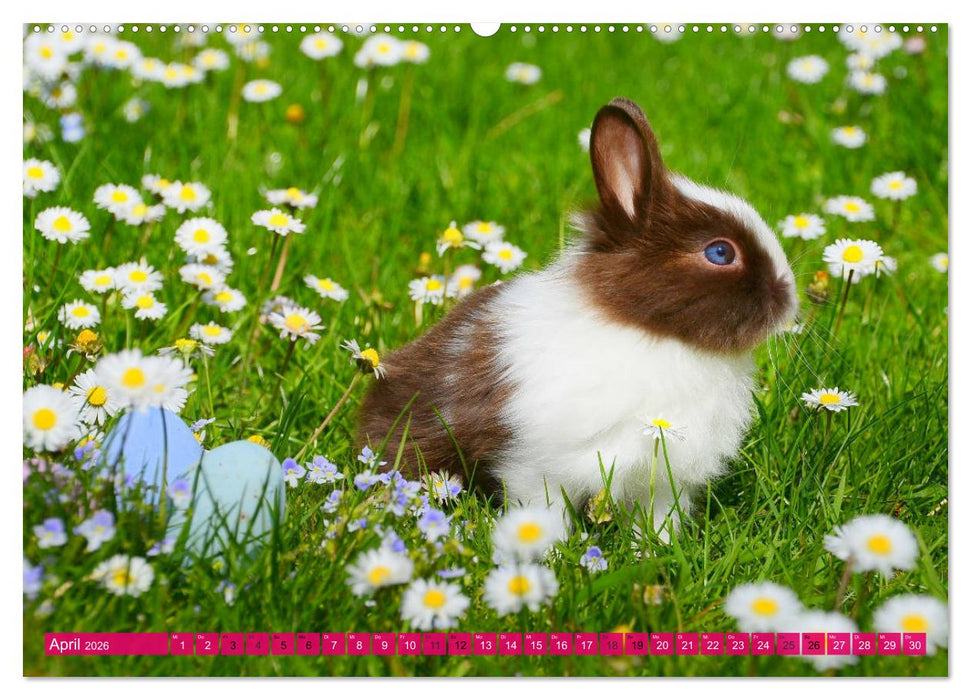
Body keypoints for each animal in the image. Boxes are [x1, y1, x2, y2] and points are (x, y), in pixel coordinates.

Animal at [357, 97, 797, 536]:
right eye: (720, 252)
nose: (790, 301)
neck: (650, 332)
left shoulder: (663, 482)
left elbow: (657, 519)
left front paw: (656, 546)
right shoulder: (534, 465)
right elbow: (542, 510)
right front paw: (547, 546)